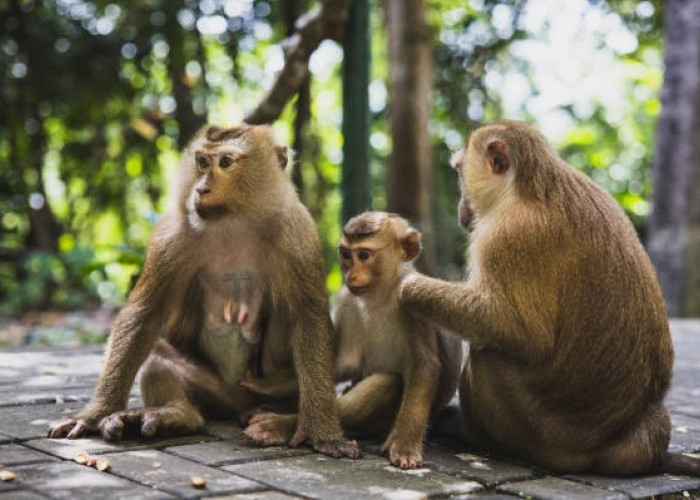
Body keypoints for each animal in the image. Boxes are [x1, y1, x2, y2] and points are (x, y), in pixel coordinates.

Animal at [49, 123, 358, 458]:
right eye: (202, 161)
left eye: (225, 162)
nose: (201, 189)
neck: (235, 222)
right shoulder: (172, 235)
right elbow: (144, 314)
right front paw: (95, 415)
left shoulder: (297, 234)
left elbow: (308, 318)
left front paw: (321, 432)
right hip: (219, 394)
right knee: (158, 354)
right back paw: (176, 415)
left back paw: (272, 409)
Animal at [243, 213, 462, 470]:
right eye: (346, 255)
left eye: (364, 255)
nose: (351, 275)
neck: (379, 297)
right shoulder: (348, 300)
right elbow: (341, 364)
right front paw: (266, 385)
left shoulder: (411, 301)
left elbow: (424, 367)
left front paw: (405, 446)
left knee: (388, 382)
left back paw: (279, 425)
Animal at [400, 121, 700, 476]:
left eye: (460, 173)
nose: (462, 208)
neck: (527, 188)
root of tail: (616, 443)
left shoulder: (506, 240)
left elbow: (518, 332)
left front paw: (409, 287)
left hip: (541, 433)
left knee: (488, 352)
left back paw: (472, 433)